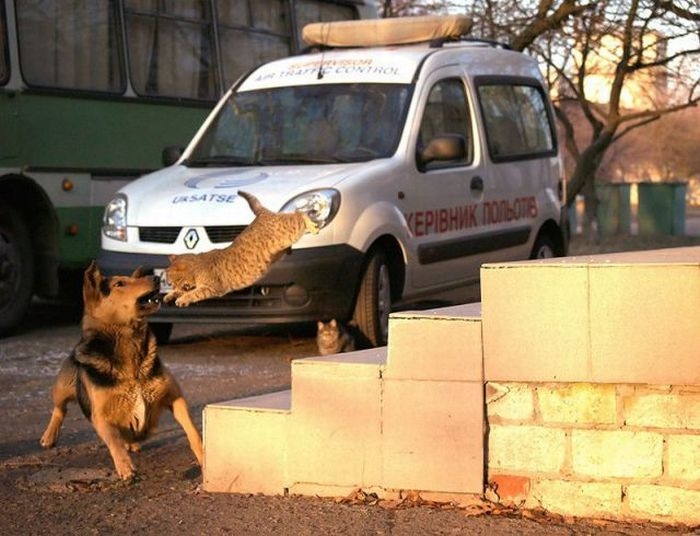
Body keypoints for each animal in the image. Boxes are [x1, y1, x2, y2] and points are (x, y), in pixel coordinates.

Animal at [42, 262, 202, 480]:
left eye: (134, 278)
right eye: (119, 284)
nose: (156, 278)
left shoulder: (176, 398)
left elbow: (192, 431)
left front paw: (204, 456)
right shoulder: (100, 417)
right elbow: (114, 440)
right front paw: (125, 466)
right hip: (63, 387)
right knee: (59, 409)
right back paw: (49, 436)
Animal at [163, 191, 318, 308]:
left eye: (172, 281)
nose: (168, 285)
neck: (196, 266)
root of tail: (262, 213)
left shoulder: (211, 287)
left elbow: (192, 293)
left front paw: (181, 298)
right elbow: (182, 292)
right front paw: (170, 295)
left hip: (289, 230)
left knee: (299, 214)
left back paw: (313, 225)